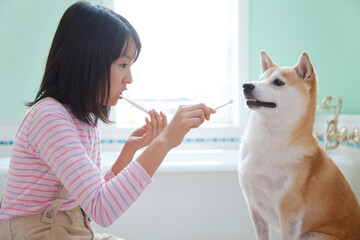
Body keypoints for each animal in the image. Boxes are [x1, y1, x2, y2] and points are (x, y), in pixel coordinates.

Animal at [239, 51, 360, 239]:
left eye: (278, 82)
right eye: (260, 79)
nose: (246, 85)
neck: (270, 141)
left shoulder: (289, 214)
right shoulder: (255, 208)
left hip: (313, 234)